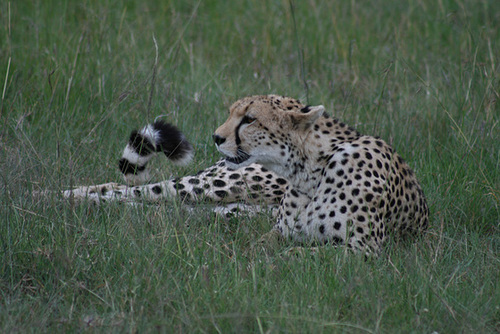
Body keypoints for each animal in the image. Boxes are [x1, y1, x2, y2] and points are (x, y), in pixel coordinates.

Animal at [55, 95, 430, 254]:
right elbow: (269, 248)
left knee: (152, 206)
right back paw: (57, 198)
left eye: (249, 119)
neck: (309, 172)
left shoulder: (363, 250)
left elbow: (306, 254)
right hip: (213, 186)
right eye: (232, 113)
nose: (216, 137)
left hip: (223, 206)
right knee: (126, 190)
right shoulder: (278, 231)